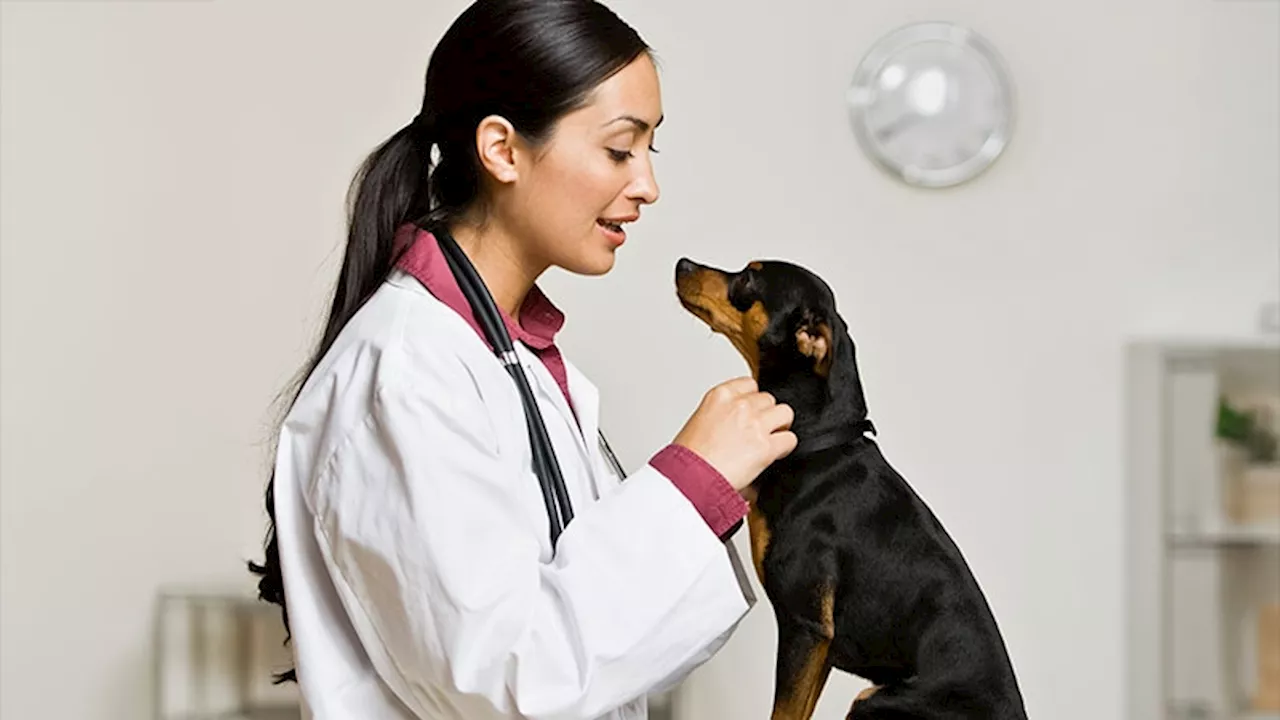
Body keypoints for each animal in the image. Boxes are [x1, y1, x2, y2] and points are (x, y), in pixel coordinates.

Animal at [675, 257, 1024, 717]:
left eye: (748, 277)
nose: (682, 264)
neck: (818, 442)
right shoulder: (819, 648)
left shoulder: (805, 627)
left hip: (872, 698)